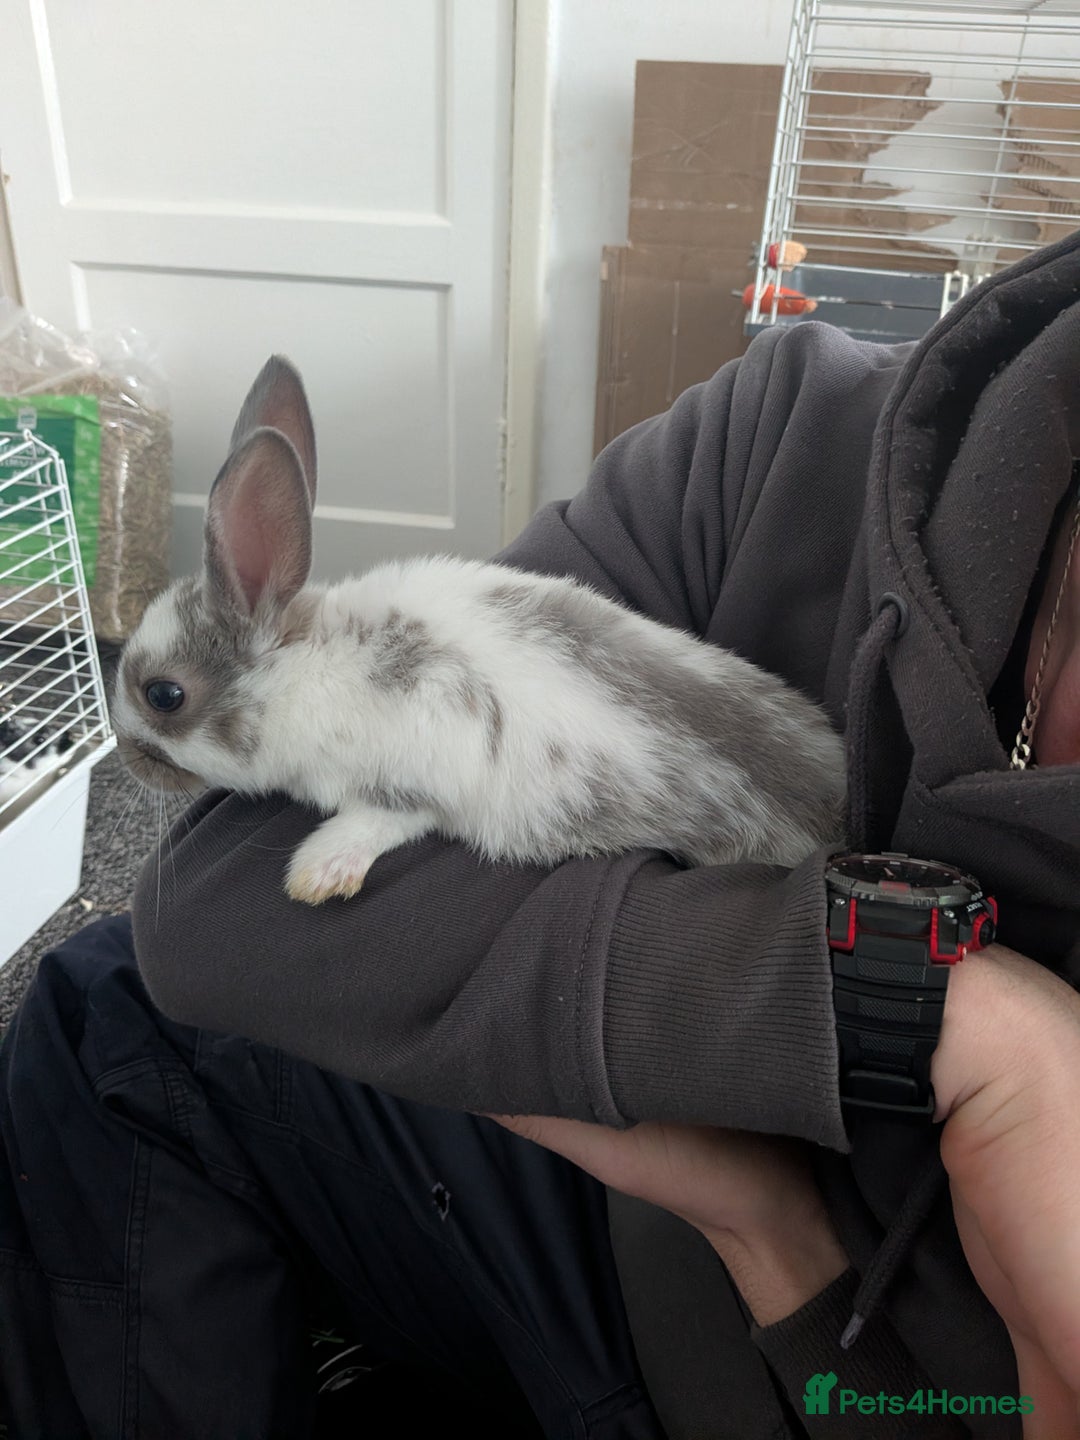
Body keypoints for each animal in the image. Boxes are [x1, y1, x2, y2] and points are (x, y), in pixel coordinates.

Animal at [113, 356, 846, 905]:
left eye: (164, 695)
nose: (126, 759)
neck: (306, 666)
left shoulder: (426, 758)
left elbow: (387, 818)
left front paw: (319, 871)